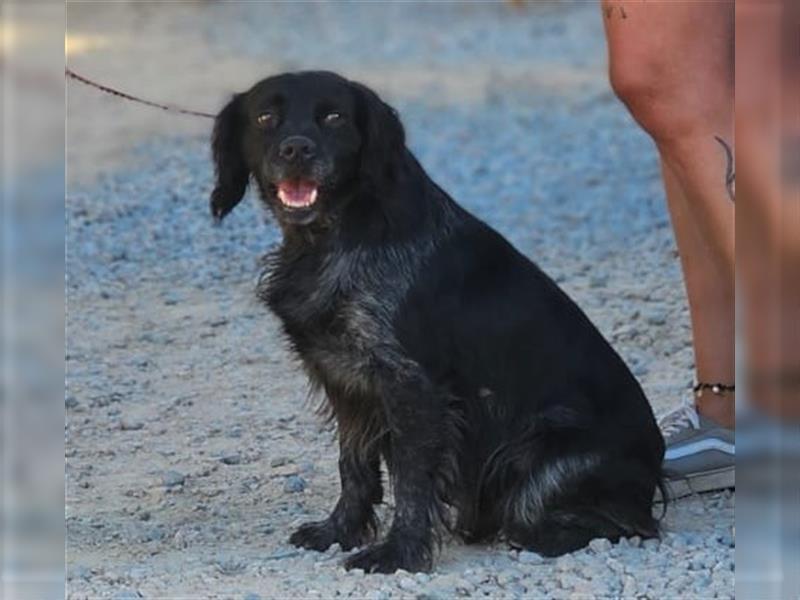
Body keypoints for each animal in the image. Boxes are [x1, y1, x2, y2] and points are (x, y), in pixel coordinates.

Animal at [209, 72, 664, 576]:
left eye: (334, 117)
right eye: (265, 117)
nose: (296, 149)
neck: (332, 237)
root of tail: (656, 464)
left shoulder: (412, 384)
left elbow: (411, 480)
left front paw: (398, 553)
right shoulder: (346, 382)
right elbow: (354, 467)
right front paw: (339, 530)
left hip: (538, 454)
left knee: (622, 523)